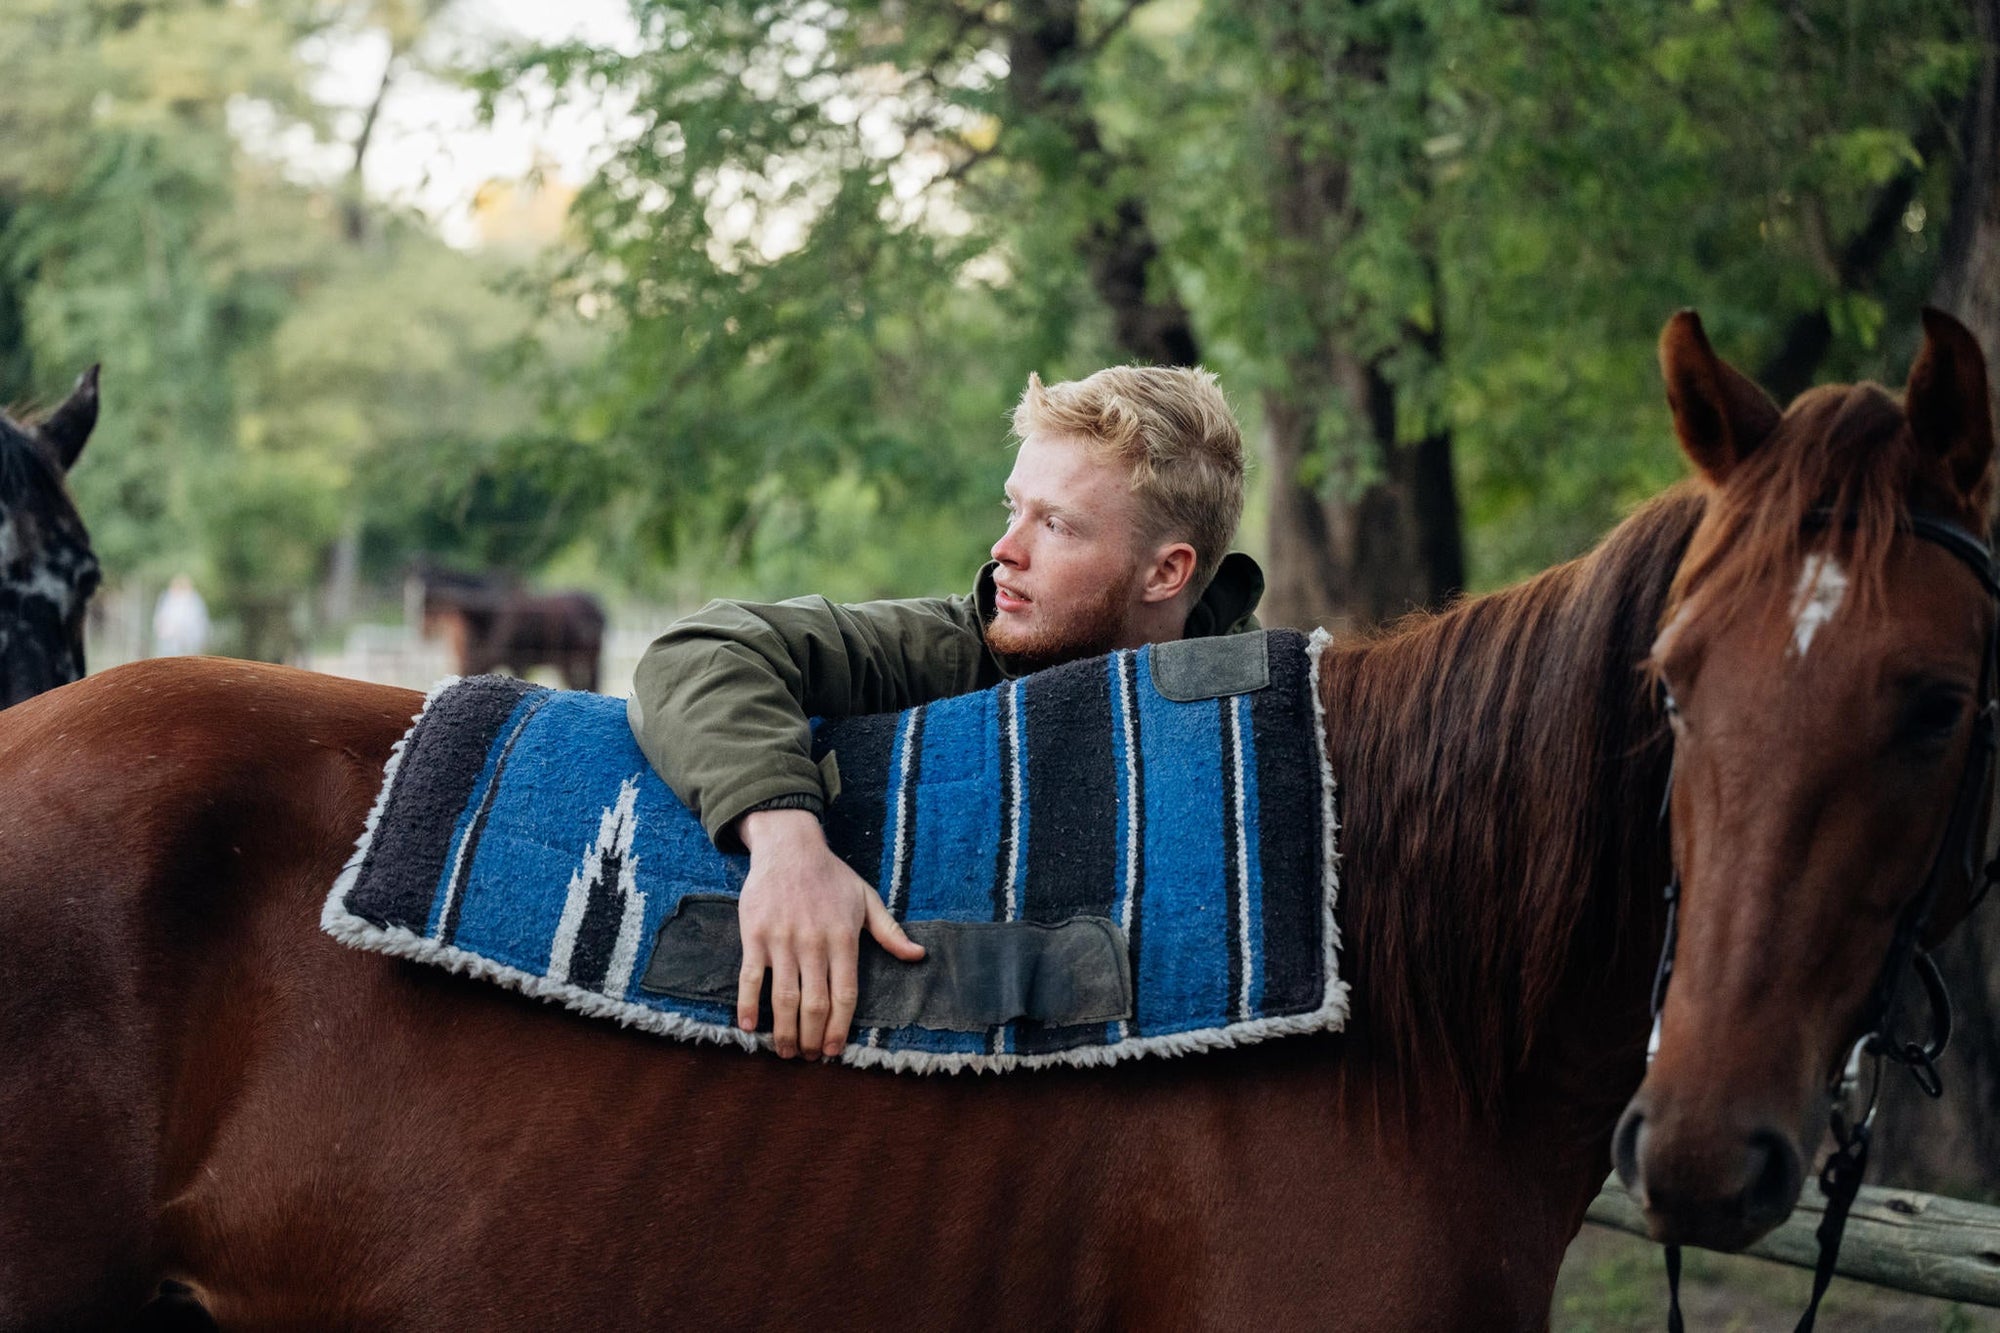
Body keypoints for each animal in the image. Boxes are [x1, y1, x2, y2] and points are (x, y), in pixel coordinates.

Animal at [413, 562, 605, 692]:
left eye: (427, 600)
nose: (423, 632)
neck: (488, 616)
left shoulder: (518, 663)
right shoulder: (476, 664)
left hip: (583, 659)